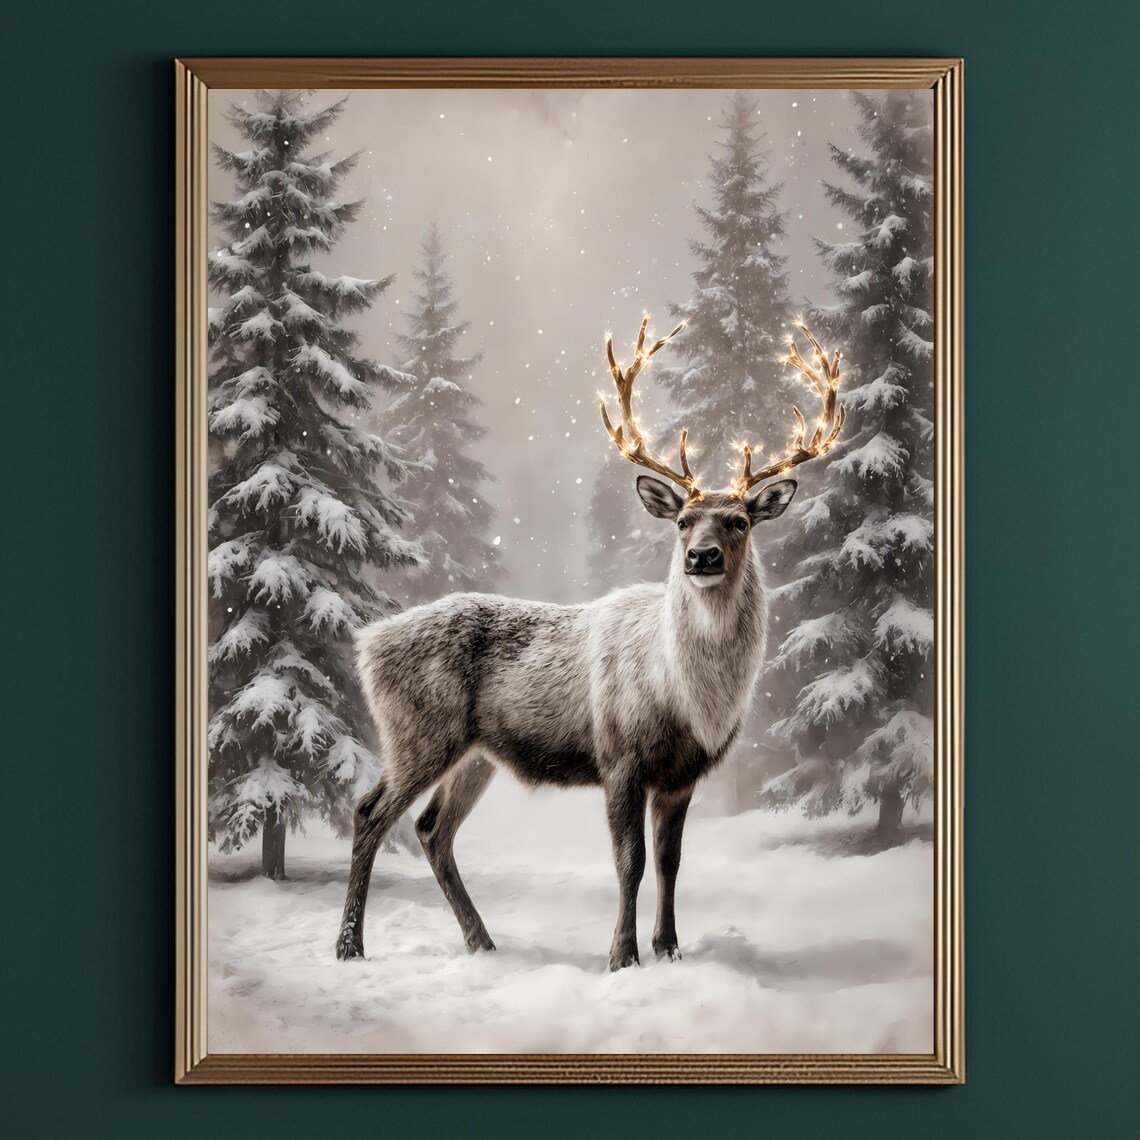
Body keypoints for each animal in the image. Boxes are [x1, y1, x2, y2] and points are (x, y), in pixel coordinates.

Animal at [336, 318, 845, 970]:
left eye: (740, 521)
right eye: (682, 521)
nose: (701, 557)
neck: (689, 699)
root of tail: (367, 642)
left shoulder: (681, 775)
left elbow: (670, 862)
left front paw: (669, 949)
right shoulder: (619, 755)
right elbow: (630, 862)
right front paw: (622, 957)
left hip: (475, 754)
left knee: (431, 829)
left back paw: (482, 940)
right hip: (417, 730)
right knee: (370, 812)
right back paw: (350, 947)